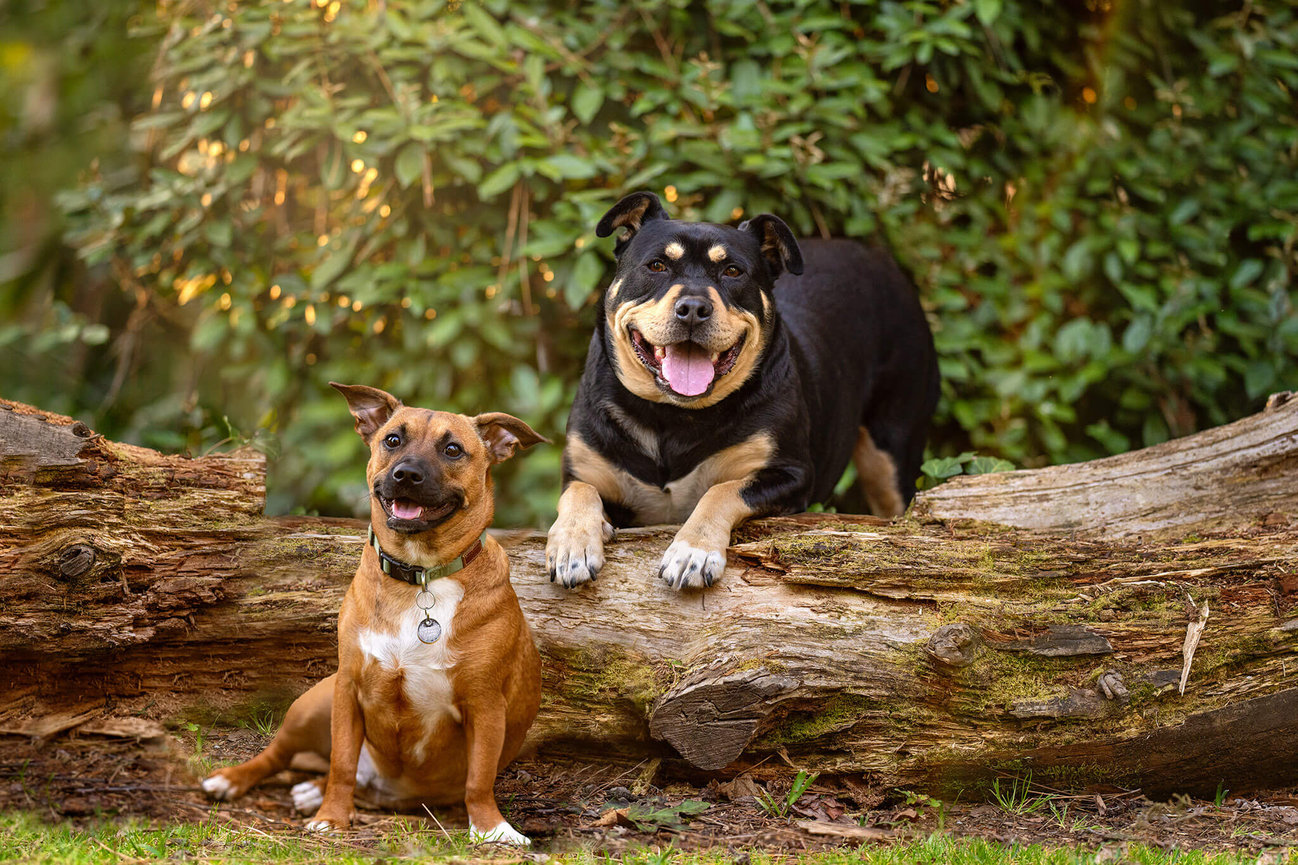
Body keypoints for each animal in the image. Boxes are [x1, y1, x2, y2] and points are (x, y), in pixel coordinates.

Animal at [201, 384, 542, 841]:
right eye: (392, 440)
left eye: (453, 449)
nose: (407, 474)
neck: (420, 576)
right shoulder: (349, 690)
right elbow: (343, 763)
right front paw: (331, 817)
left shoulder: (485, 706)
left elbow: (479, 779)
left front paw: (493, 829)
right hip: (311, 708)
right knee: (280, 757)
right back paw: (234, 780)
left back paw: (311, 790)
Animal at [545, 192, 934, 589]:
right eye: (656, 266)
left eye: (733, 271)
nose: (693, 307)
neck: (672, 417)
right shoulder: (585, 469)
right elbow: (578, 493)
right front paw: (573, 544)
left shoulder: (791, 475)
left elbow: (722, 490)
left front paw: (694, 551)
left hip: (893, 449)